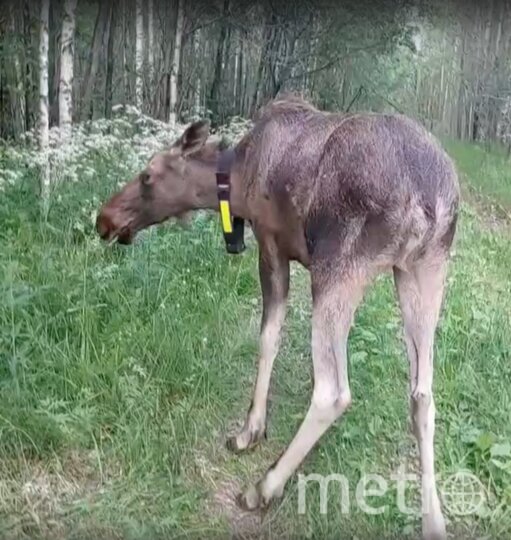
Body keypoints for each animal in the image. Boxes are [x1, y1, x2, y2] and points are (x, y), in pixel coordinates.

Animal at [96, 95, 460, 536]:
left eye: (147, 175)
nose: (105, 218)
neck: (235, 180)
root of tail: (430, 203)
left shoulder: (270, 243)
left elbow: (269, 336)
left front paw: (250, 429)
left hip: (339, 268)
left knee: (333, 390)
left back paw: (264, 487)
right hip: (424, 269)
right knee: (422, 394)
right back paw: (433, 520)